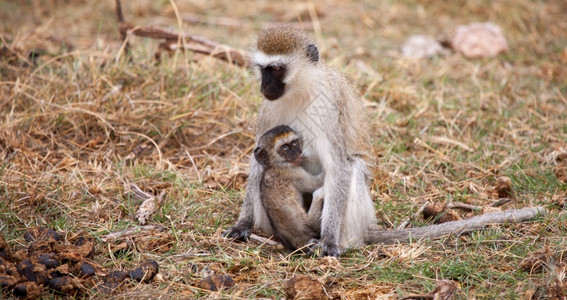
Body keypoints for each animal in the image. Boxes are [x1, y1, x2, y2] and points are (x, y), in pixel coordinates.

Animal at [255, 125, 326, 253]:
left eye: (294, 143)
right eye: (285, 149)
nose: (298, 153)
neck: (274, 165)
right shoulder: (292, 173)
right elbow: (316, 183)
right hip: (310, 224)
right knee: (317, 195)